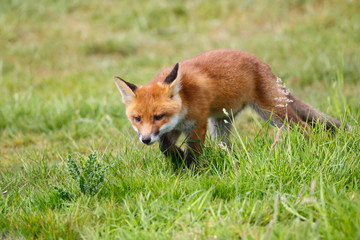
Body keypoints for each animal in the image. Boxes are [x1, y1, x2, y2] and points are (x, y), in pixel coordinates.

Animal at [114, 48, 344, 167]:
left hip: (273, 114)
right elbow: (165, 147)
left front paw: (189, 171)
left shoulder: (197, 124)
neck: (185, 98)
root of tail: (262, 63)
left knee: (305, 128)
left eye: (158, 116)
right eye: (137, 118)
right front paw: (177, 158)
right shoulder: (175, 128)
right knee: (227, 146)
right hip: (220, 124)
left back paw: (308, 148)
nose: (145, 140)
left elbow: (193, 153)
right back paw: (233, 161)